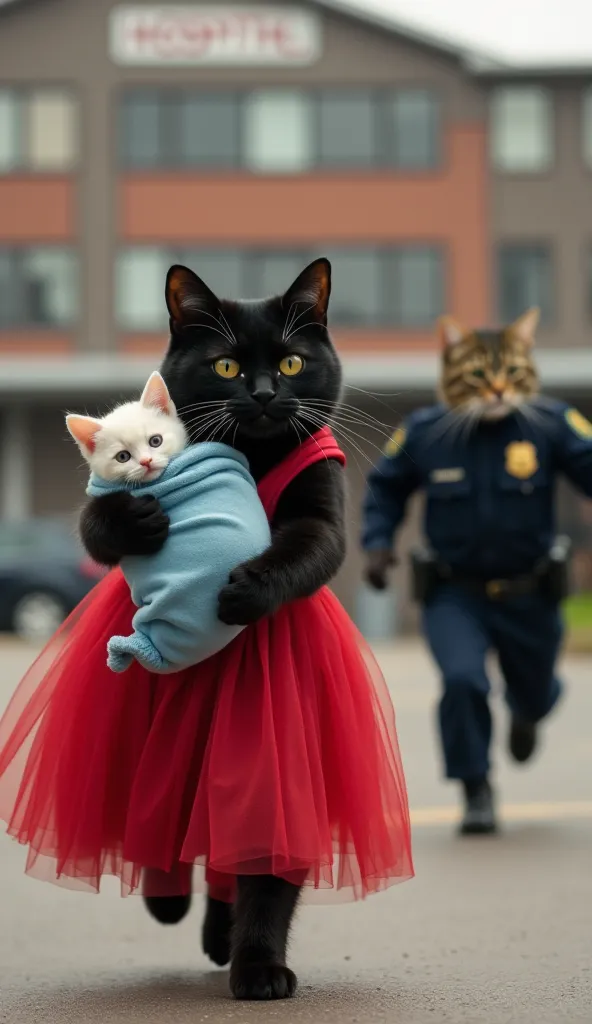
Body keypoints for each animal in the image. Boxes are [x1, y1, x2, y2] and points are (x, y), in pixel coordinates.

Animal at [78, 256, 346, 999]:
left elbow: (308, 550)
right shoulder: (98, 517)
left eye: (290, 361)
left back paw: (245, 955)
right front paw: (140, 519)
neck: (253, 457)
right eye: (226, 367)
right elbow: (96, 526)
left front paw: (247, 590)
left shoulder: (323, 511)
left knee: (242, 855)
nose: (262, 395)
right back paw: (168, 900)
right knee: (159, 827)